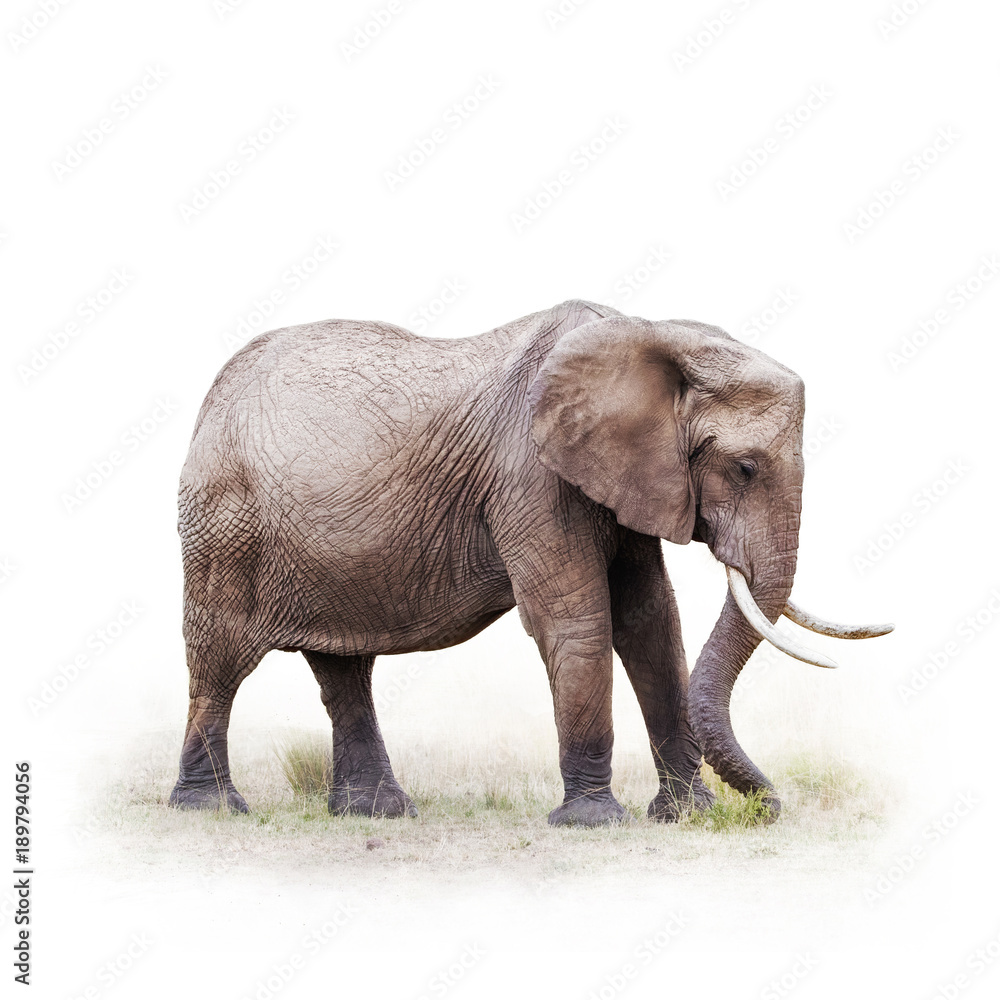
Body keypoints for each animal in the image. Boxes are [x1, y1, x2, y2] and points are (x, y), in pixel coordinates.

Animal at [168, 299, 891, 825]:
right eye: (743, 468)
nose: (771, 810)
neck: (652, 336)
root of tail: (210, 397)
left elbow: (652, 624)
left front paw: (684, 815)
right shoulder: (531, 475)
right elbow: (578, 621)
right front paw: (595, 823)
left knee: (344, 669)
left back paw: (375, 814)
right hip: (222, 525)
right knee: (219, 660)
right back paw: (212, 808)